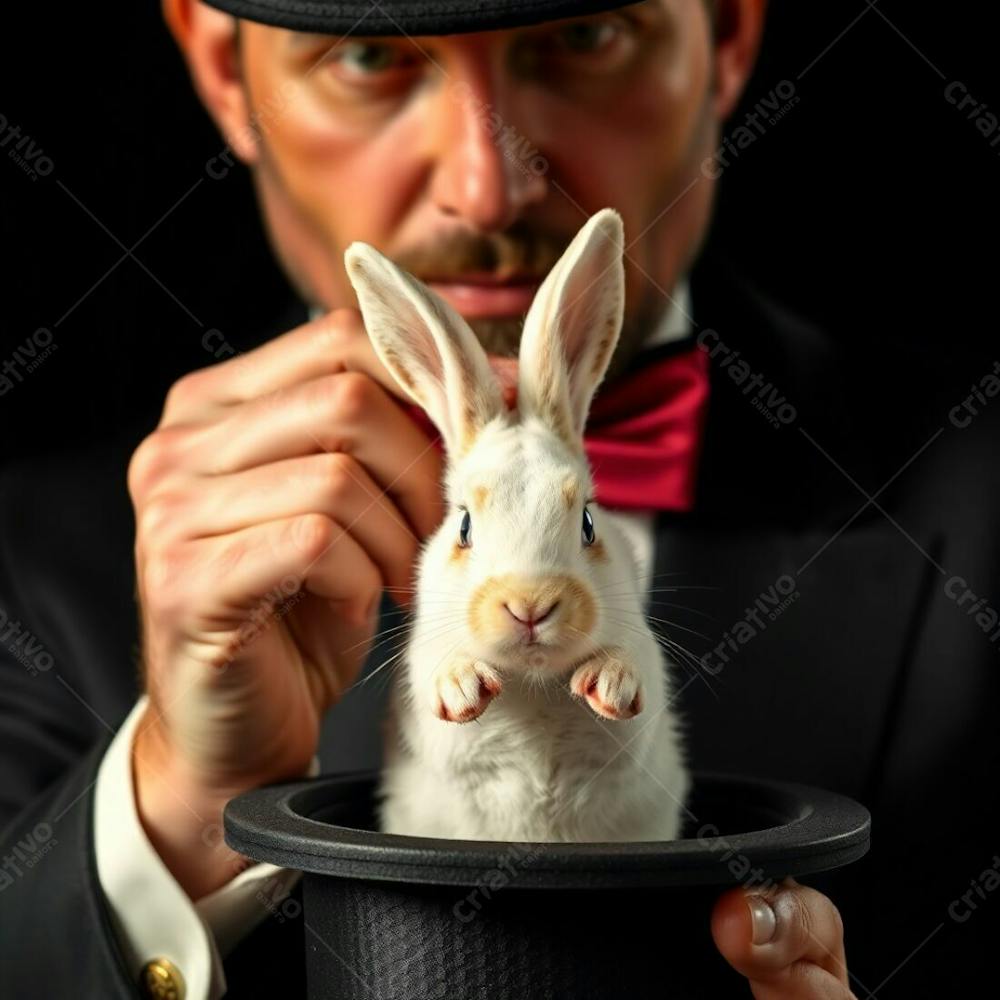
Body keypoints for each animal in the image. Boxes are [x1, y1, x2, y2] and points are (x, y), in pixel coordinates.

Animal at [344, 211, 688, 844]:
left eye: (587, 522)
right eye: (463, 527)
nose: (531, 606)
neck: (533, 684)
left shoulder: (643, 671)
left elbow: (634, 677)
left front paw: (608, 684)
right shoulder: (424, 670)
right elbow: (438, 676)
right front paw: (464, 688)